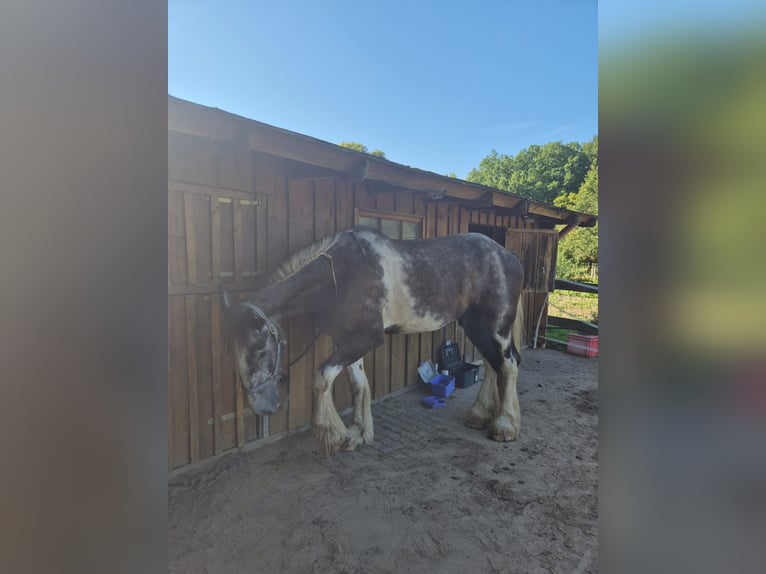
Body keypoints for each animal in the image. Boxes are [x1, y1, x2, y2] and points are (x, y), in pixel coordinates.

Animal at [221, 225, 525, 457]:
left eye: (259, 350)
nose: (264, 407)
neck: (341, 276)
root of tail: (508, 255)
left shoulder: (365, 339)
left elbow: (321, 377)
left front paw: (331, 434)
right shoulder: (347, 341)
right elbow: (357, 385)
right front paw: (357, 435)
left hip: (497, 325)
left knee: (508, 366)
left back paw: (505, 426)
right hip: (474, 323)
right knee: (490, 364)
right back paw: (480, 415)